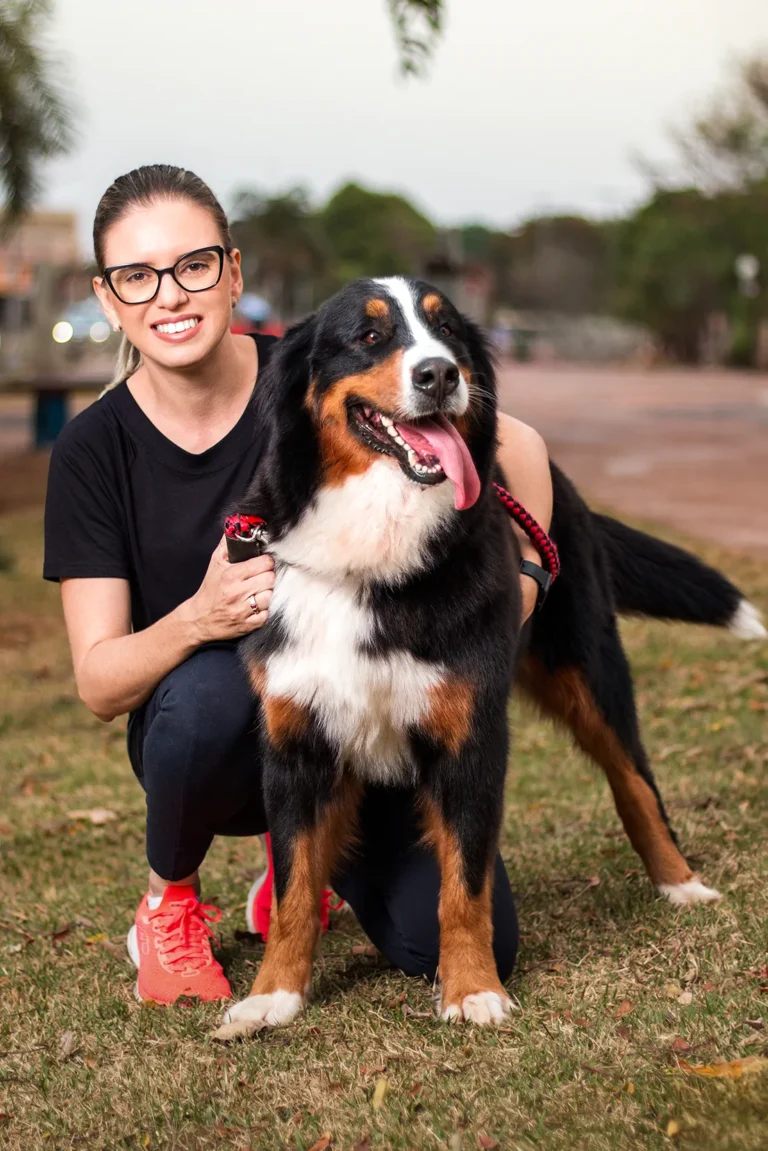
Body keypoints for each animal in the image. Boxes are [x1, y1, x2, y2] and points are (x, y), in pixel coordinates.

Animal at [225, 276, 764, 1026]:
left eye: (447, 331)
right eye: (368, 336)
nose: (440, 374)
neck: (375, 551)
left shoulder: (471, 737)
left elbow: (464, 885)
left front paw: (473, 988)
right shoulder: (296, 743)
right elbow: (294, 888)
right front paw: (273, 995)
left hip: (591, 671)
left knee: (635, 782)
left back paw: (682, 884)